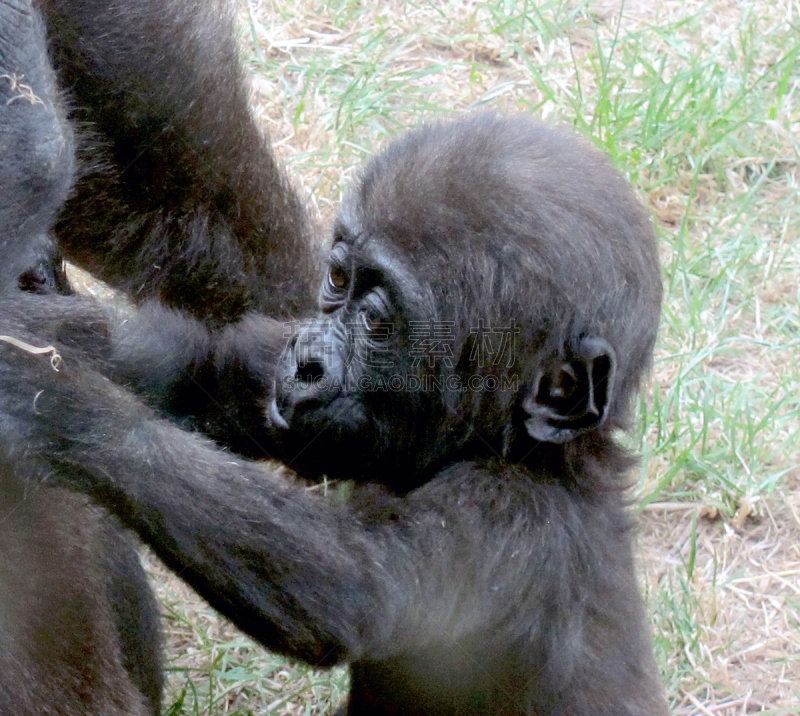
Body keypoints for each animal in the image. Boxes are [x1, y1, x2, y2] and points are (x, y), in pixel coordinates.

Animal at [0, 114, 668, 712]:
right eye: (338, 277)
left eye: (374, 322)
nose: (306, 361)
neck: (528, 451)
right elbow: (208, 375)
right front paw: (40, 327)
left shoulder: (510, 517)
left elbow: (354, 586)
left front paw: (49, 400)